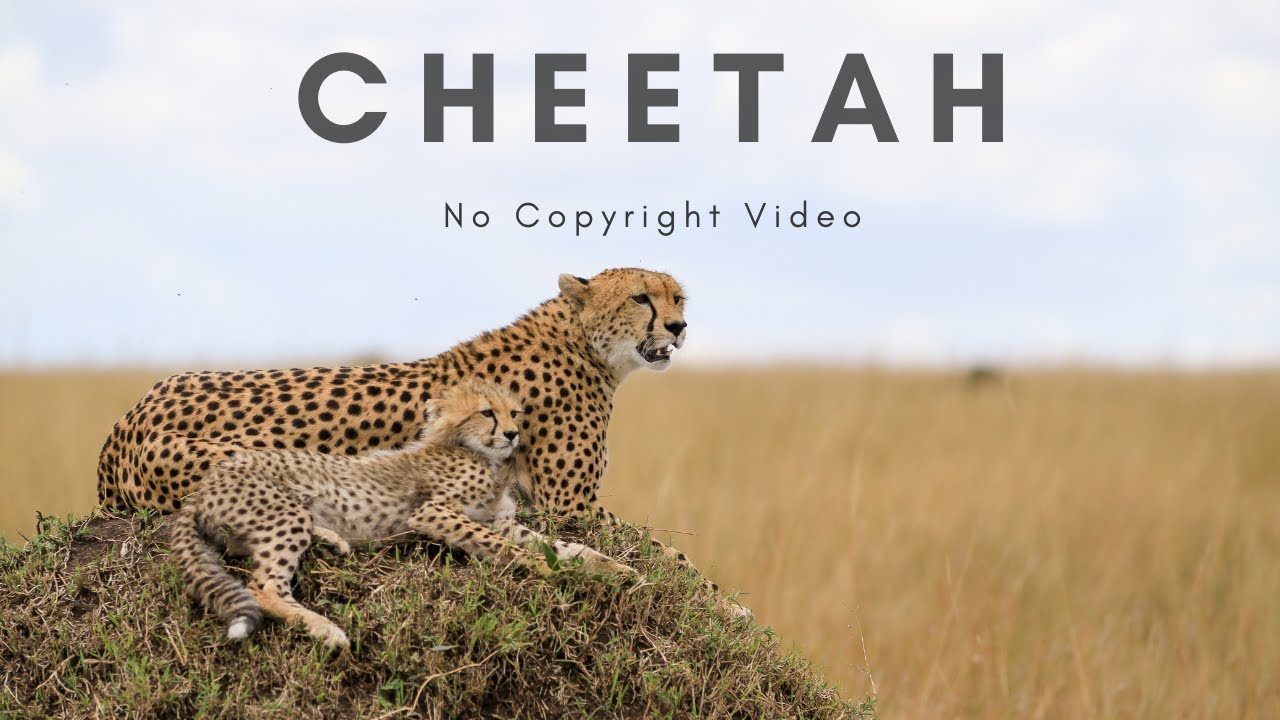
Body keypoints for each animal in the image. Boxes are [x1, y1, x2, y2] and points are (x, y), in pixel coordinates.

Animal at [169, 378, 636, 649]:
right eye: (487, 412)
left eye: (514, 412)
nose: (512, 433)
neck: (479, 454)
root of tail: (204, 486)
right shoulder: (433, 513)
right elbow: (513, 550)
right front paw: (548, 570)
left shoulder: (501, 521)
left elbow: (565, 546)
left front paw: (615, 568)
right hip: (280, 515)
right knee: (264, 587)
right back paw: (326, 629)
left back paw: (333, 540)